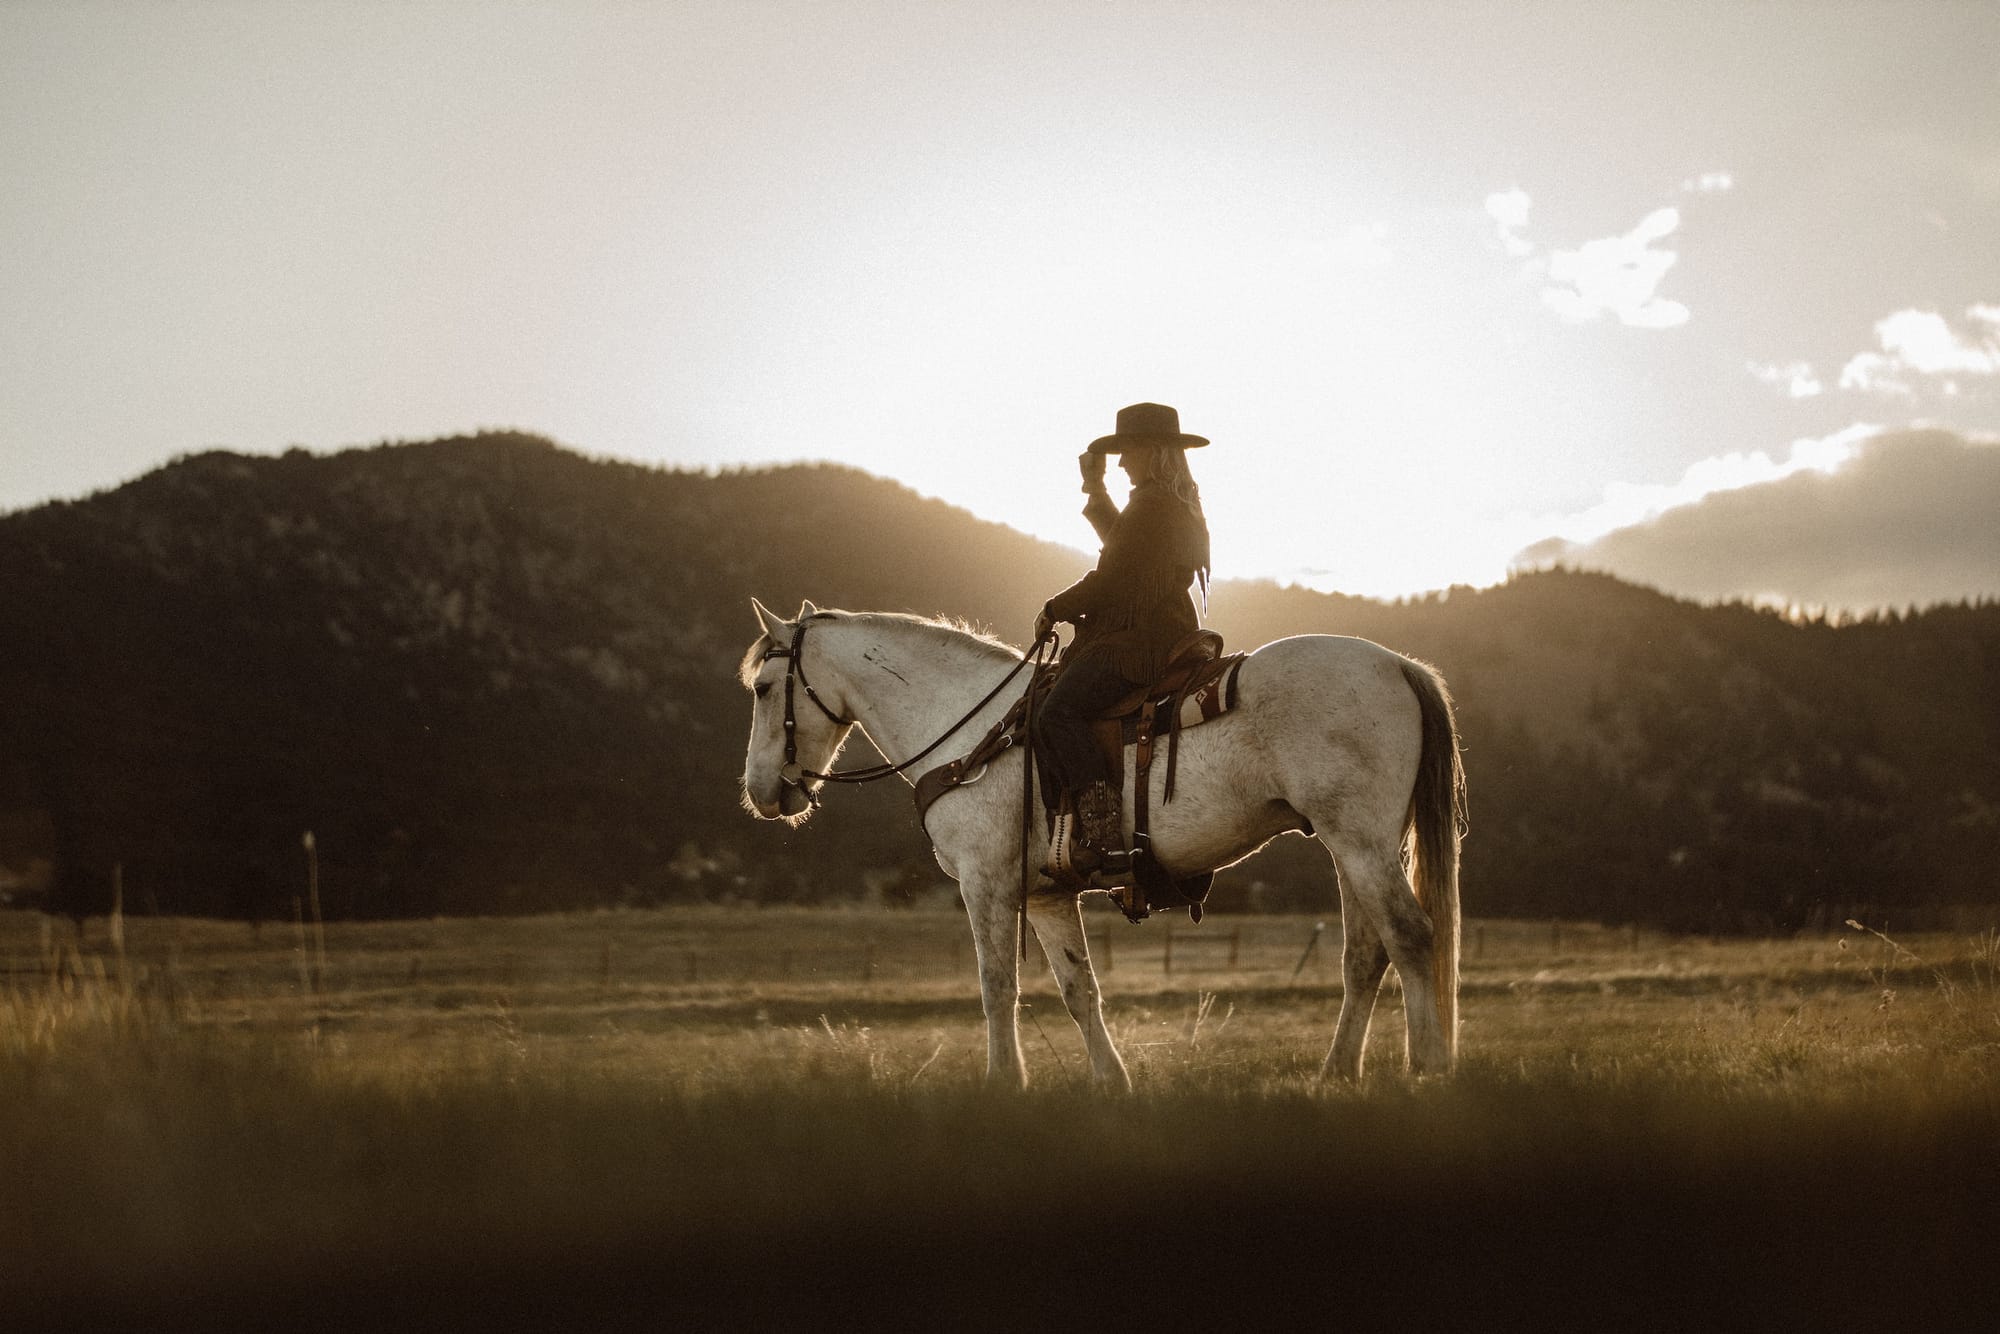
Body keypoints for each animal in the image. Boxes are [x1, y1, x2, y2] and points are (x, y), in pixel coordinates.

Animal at [744, 600, 1464, 1088]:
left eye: (761, 688)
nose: (761, 791)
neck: (973, 731)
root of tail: (1398, 665)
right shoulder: (1045, 896)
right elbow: (1077, 989)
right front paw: (1110, 1083)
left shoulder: (986, 883)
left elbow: (996, 984)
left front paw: (1003, 1084)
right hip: (1353, 848)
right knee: (1365, 956)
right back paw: (1337, 1073)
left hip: (1361, 842)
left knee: (1410, 935)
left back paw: (1427, 1067)